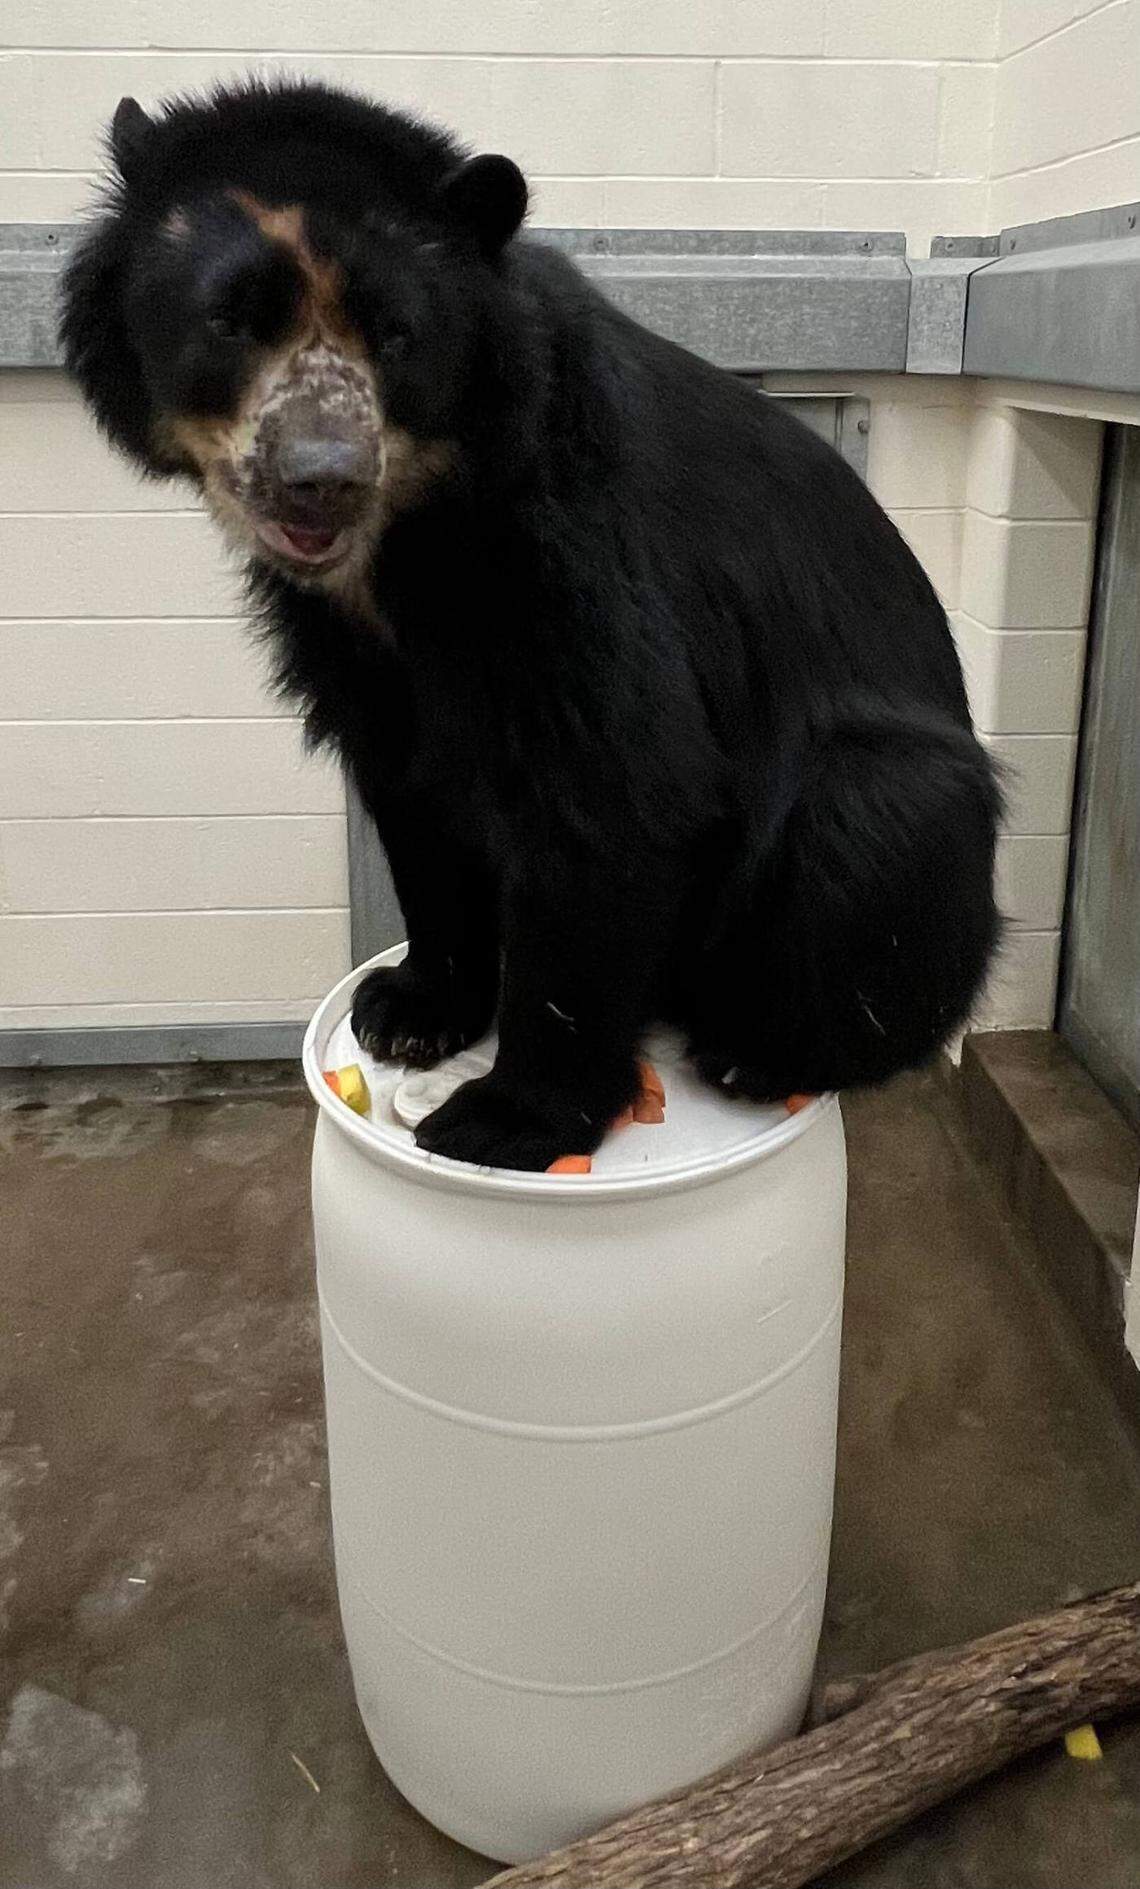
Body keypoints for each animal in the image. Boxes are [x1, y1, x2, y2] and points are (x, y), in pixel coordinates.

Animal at [61, 79, 1001, 1171]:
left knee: (874, 819)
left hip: (893, 817)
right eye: (231, 322)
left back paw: (754, 1054)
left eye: (397, 335)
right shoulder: (353, 647)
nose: (322, 478)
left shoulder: (574, 551)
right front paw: (408, 1010)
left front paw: (504, 1117)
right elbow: (415, 796)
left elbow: (621, 789)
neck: (407, 534)